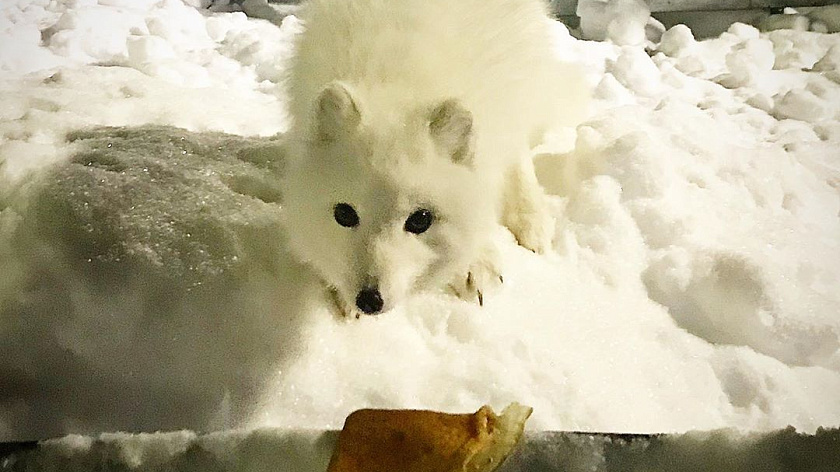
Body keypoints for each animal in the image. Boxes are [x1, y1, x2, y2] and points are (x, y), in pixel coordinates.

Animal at [282, 0, 584, 318]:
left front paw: (476, 261)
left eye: (420, 220)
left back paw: (531, 220)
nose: (369, 300)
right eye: (344, 214)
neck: (399, 81)